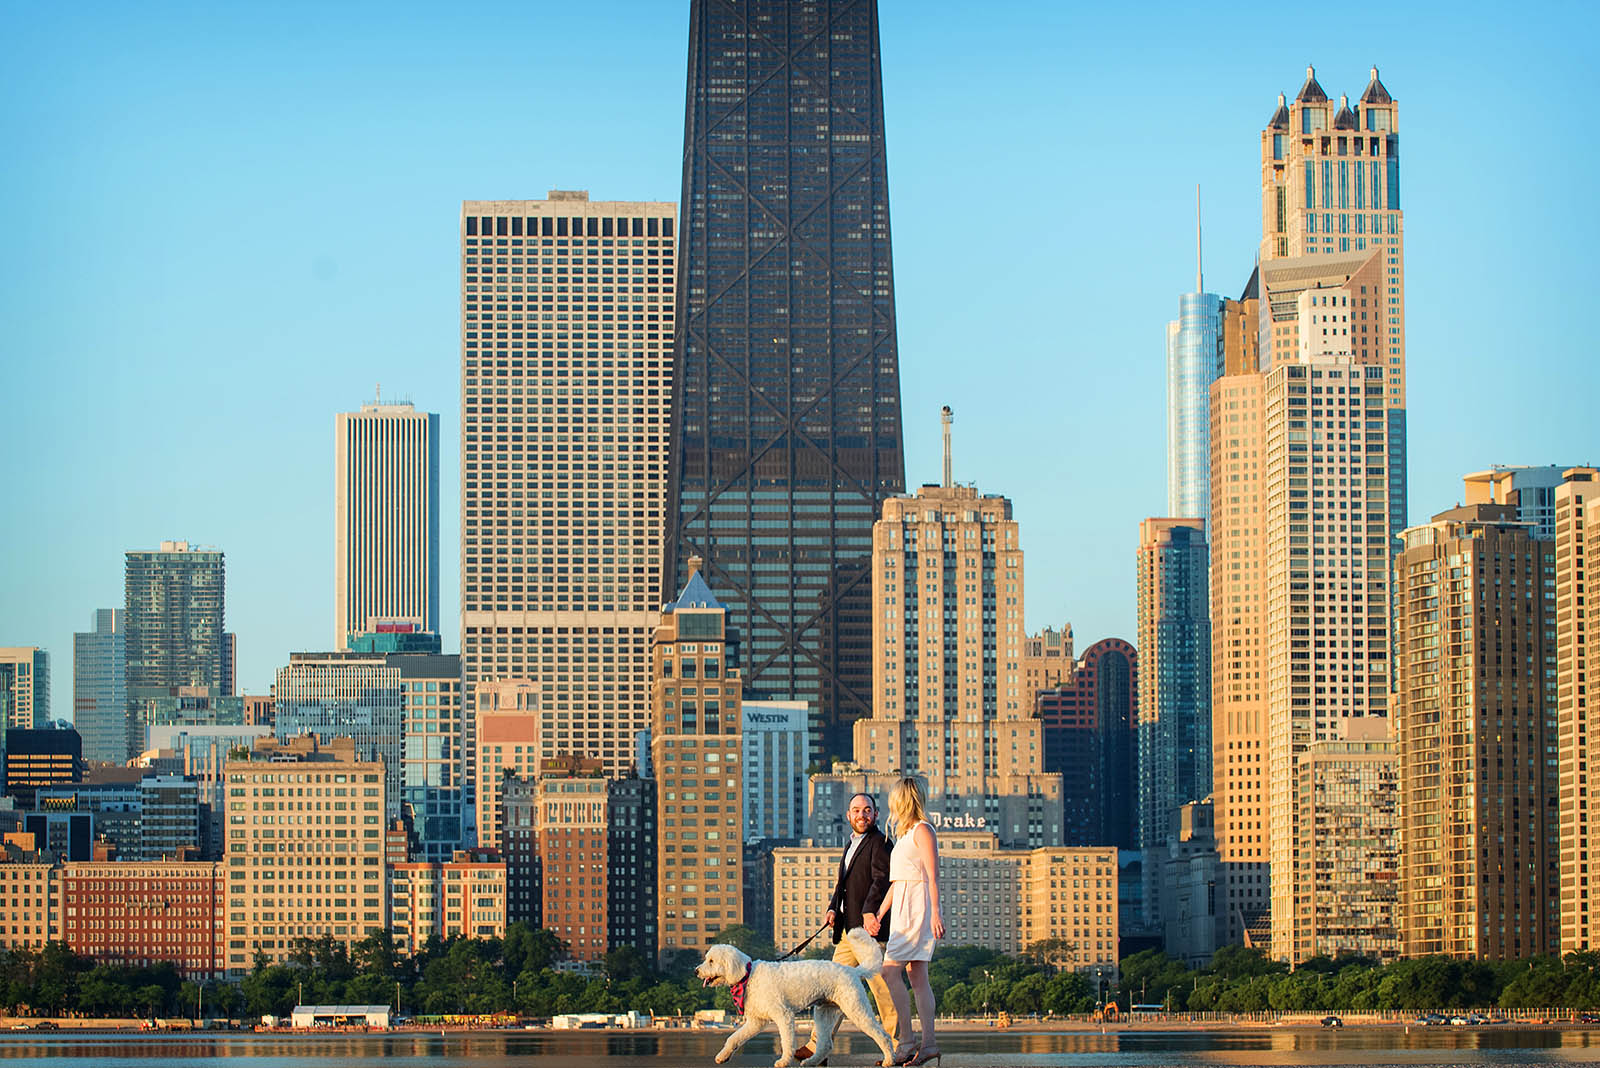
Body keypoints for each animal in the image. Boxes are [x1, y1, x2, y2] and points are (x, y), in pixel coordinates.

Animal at [700, 927, 902, 1068]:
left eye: (711, 961)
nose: (696, 971)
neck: (747, 976)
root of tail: (853, 970)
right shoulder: (756, 1022)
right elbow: (734, 1038)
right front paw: (723, 1056)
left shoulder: (783, 1015)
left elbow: (787, 1041)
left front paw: (784, 1061)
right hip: (824, 1013)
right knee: (825, 1044)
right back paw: (811, 1062)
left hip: (856, 1008)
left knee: (882, 1035)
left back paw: (889, 1060)